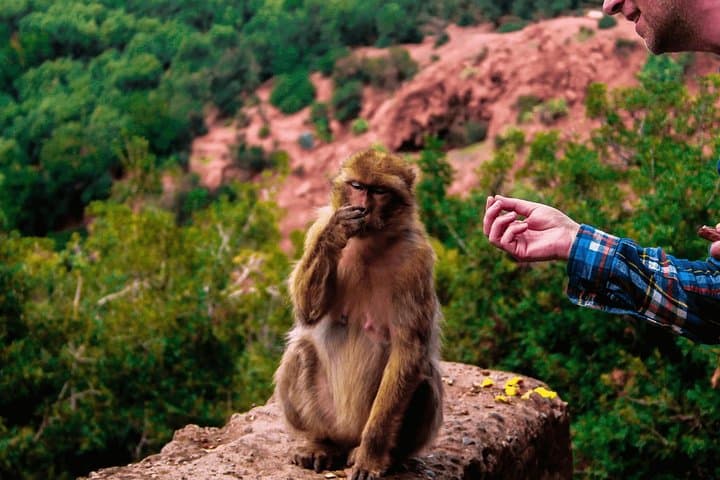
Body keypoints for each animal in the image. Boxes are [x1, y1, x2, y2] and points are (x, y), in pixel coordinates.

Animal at [274, 149, 444, 480]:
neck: (371, 242)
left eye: (378, 191)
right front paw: (336, 233)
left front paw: (371, 457)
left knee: (425, 376)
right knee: (299, 351)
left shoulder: (417, 260)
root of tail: (347, 435)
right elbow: (307, 312)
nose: (363, 207)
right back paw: (321, 444)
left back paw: (389, 457)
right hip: (330, 417)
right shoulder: (319, 223)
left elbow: (408, 351)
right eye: (357, 185)